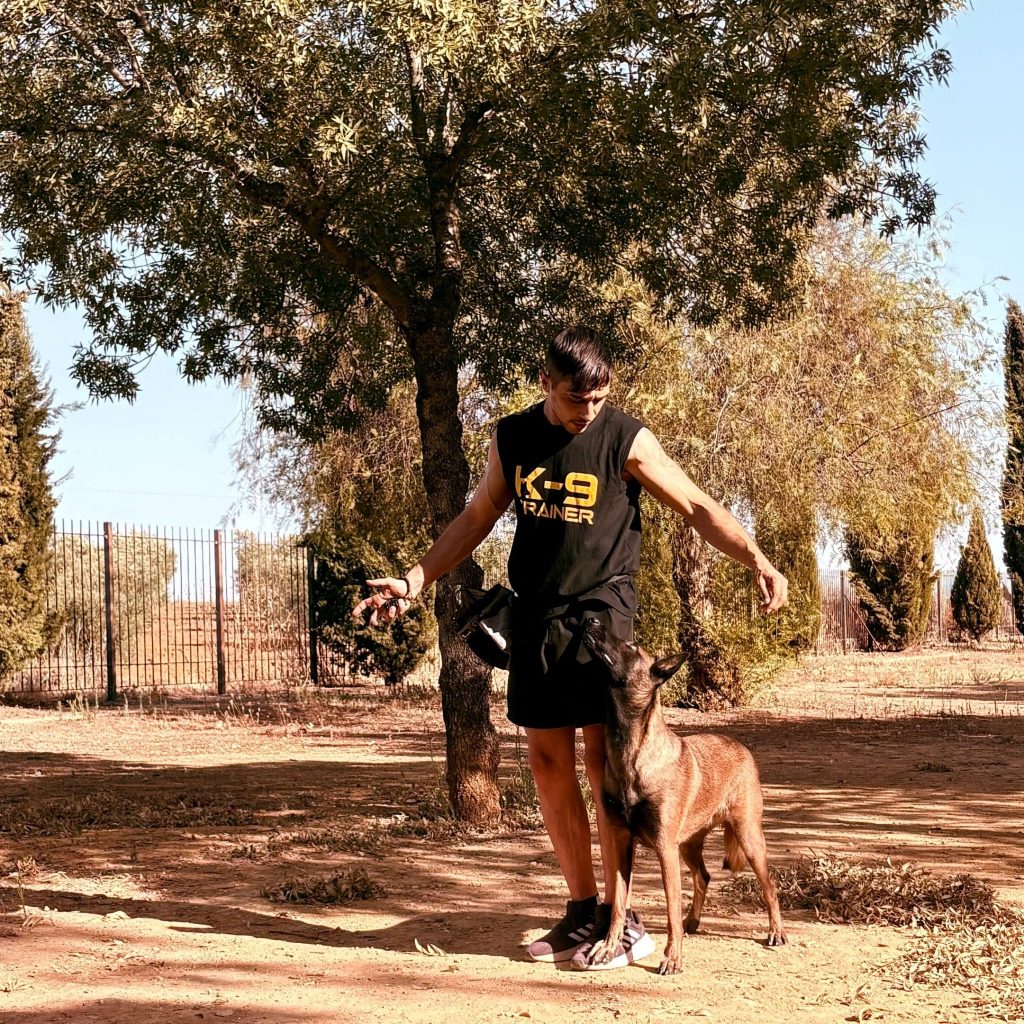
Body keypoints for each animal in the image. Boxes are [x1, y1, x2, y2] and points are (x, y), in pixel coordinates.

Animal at [581, 619, 786, 975]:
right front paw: (607, 947)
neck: (631, 752)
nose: (591, 620)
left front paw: (673, 957)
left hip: (748, 836)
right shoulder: (621, 845)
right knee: (703, 876)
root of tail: (741, 747)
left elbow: (670, 909)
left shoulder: (665, 849)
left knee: (769, 885)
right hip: (689, 844)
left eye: (631, 646)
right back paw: (694, 920)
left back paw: (776, 931)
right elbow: (618, 904)